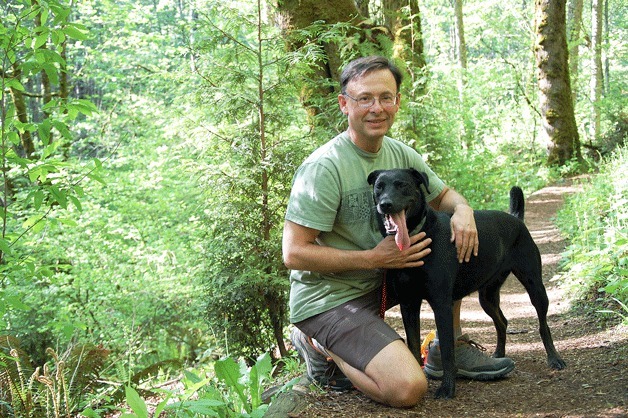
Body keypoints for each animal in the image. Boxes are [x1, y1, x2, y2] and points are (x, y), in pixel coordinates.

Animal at [368, 169, 564, 398]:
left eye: (402, 184)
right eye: (379, 186)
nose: (385, 204)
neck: (418, 235)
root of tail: (516, 219)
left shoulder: (441, 304)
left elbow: (447, 351)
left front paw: (447, 388)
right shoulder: (408, 304)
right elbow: (414, 346)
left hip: (535, 286)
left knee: (543, 325)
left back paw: (554, 358)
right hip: (487, 296)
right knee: (502, 322)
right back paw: (499, 355)